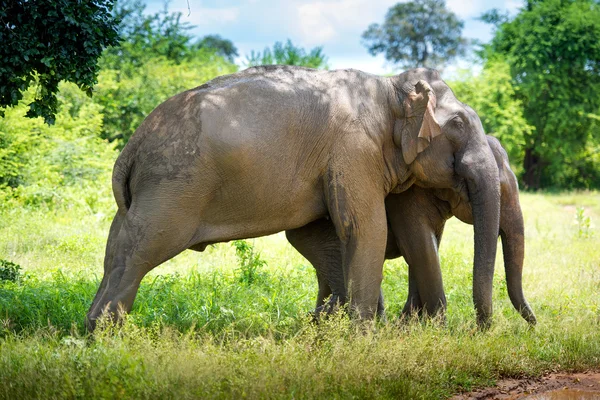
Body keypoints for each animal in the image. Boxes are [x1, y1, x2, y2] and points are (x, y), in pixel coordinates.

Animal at [86, 66, 502, 332]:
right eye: (458, 124)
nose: (480, 329)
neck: (389, 87)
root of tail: (132, 147)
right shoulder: (353, 151)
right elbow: (365, 228)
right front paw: (364, 338)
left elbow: (317, 235)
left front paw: (334, 329)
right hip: (173, 186)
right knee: (142, 248)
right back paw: (108, 337)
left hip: (150, 190)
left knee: (117, 243)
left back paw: (91, 331)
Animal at [288, 136, 536, 326]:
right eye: (501, 192)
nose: (533, 324)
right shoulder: (407, 199)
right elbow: (420, 248)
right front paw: (436, 330)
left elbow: (425, 250)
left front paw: (410, 325)